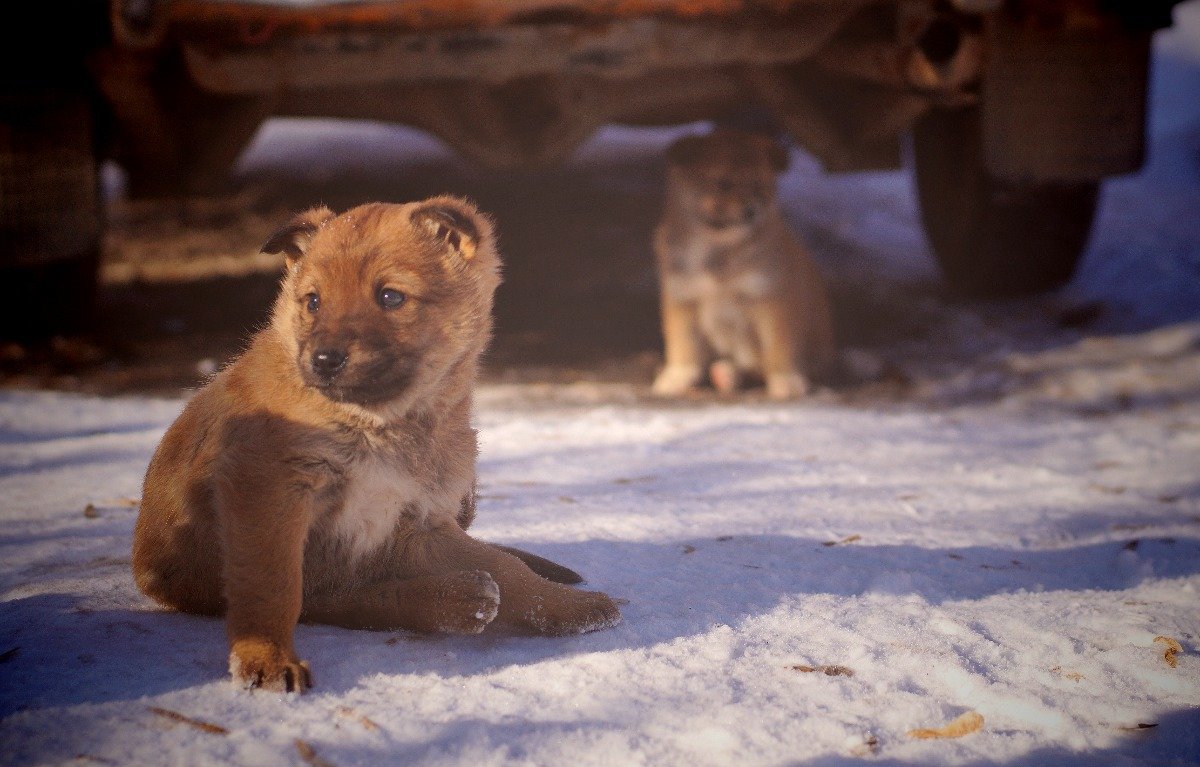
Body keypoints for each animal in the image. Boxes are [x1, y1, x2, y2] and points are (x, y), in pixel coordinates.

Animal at [133, 199, 619, 696]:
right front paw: (265, 657)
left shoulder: (417, 519)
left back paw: (461, 598)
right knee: (329, 600)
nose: (323, 360)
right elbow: (274, 587)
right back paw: (458, 599)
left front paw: (563, 604)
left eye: (390, 297)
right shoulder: (267, 491)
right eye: (313, 301)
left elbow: (504, 564)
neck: (381, 423)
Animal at [648, 128, 835, 398]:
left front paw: (786, 380)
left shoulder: (773, 299)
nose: (751, 211)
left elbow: (780, 346)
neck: (719, 249)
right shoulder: (682, 299)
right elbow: (683, 346)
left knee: (759, 368)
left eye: (759, 186)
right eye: (723, 183)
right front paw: (676, 377)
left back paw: (729, 374)